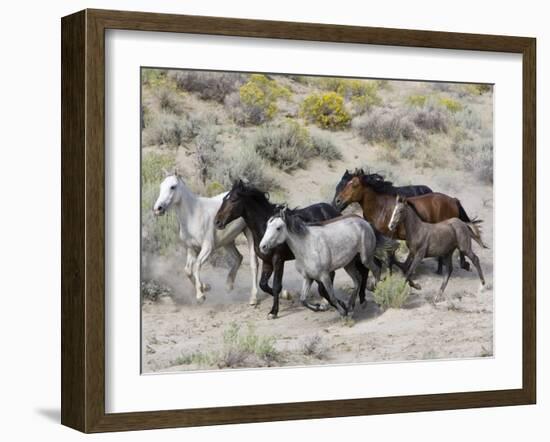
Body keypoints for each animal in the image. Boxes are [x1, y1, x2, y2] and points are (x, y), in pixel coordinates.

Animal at [153, 171, 260, 306]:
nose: (158, 209)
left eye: (173, 186)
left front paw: (200, 296)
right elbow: (188, 270)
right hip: (227, 241)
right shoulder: (191, 248)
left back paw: (253, 298)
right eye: (161, 186)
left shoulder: (207, 247)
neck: (193, 216)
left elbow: (196, 265)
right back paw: (229, 285)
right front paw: (206, 287)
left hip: (249, 234)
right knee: (239, 257)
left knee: (254, 263)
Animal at [215, 181, 370, 320]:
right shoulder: (267, 262)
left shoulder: (278, 260)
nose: (217, 222)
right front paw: (286, 295)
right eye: (223, 199)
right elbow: (263, 284)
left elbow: (276, 285)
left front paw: (274, 311)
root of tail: (334, 210)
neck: (264, 228)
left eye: (233, 200)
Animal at [334, 170, 480, 272]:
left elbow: (389, 258)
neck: (380, 207)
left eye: (354, 185)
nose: (337, 201)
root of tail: (453, 200)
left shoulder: (388, 237)